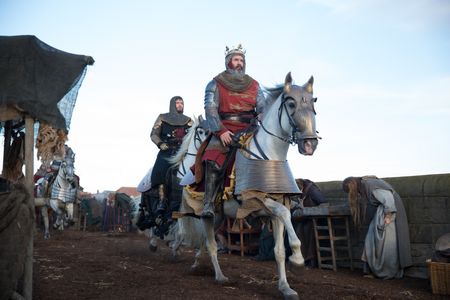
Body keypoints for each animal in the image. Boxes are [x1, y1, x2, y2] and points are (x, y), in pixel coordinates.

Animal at [178, 73, 318, 300]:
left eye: (313, 103)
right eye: (290, 103)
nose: (309, 144)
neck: (270, 154)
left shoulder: (274, 210)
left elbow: (279, 250)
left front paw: (285, 287)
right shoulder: (257, 199)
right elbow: (286, 215)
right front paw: (297, 259)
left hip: (219, 217)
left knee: (206, 242)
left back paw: (198, 263)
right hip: (207, 214)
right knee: (211, 244)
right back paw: (219, 276)